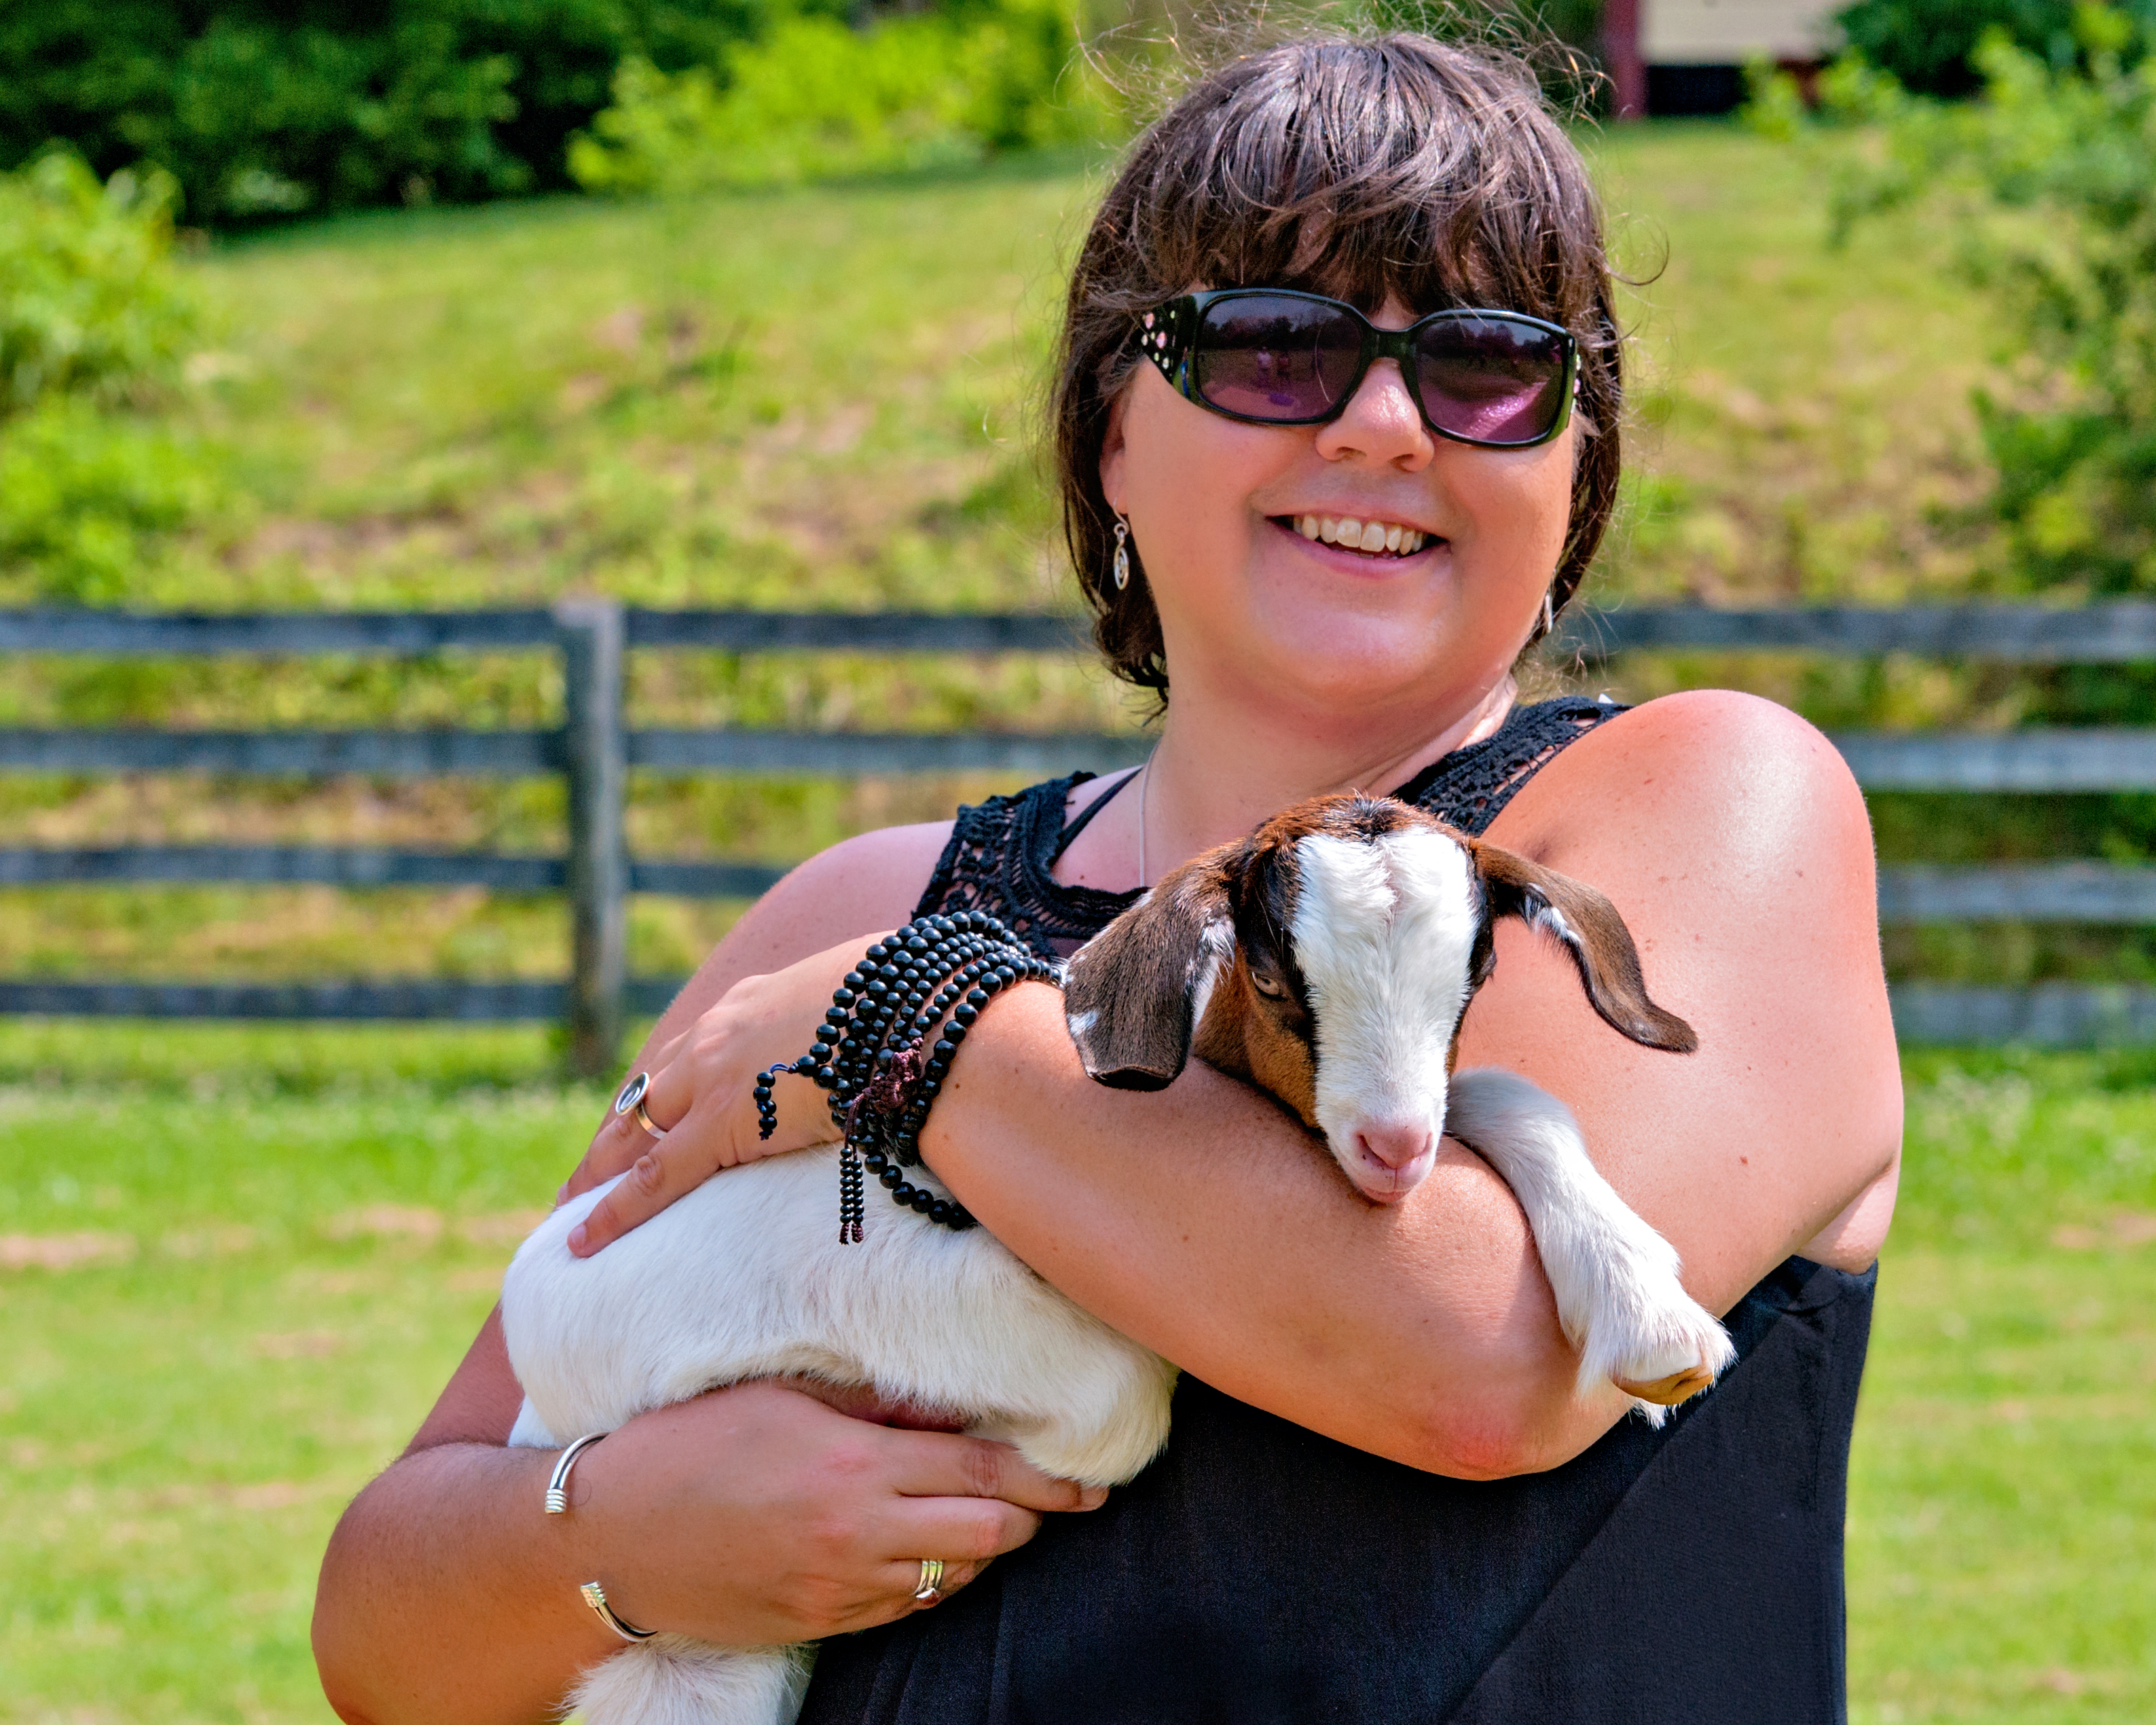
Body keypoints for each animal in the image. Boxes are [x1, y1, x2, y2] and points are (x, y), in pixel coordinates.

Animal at [500, 793, 1733, 1725]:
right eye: (1277, 980)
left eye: (1472, 976)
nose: (1394, 1151)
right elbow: (1121, 1399)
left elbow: (1512, 1092)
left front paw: (1653, 1326)